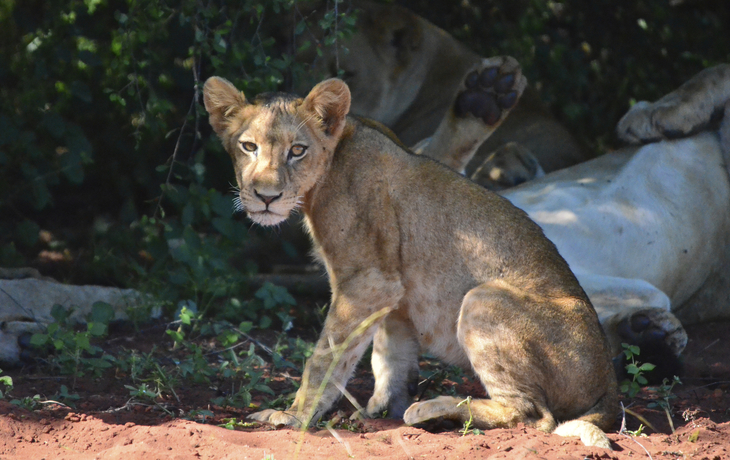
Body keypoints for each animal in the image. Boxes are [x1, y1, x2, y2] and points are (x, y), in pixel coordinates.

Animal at [202, 55, 616, 448]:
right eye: (248, 147)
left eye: (297, 151)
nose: (266, 196)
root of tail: (609, 382)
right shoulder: (392, 289)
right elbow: (389, 354)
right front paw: (380, 408)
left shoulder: (366, 281)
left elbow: (328, 355)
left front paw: (295, 416)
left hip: (483, 298)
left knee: (533, 415)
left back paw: (433, 410)